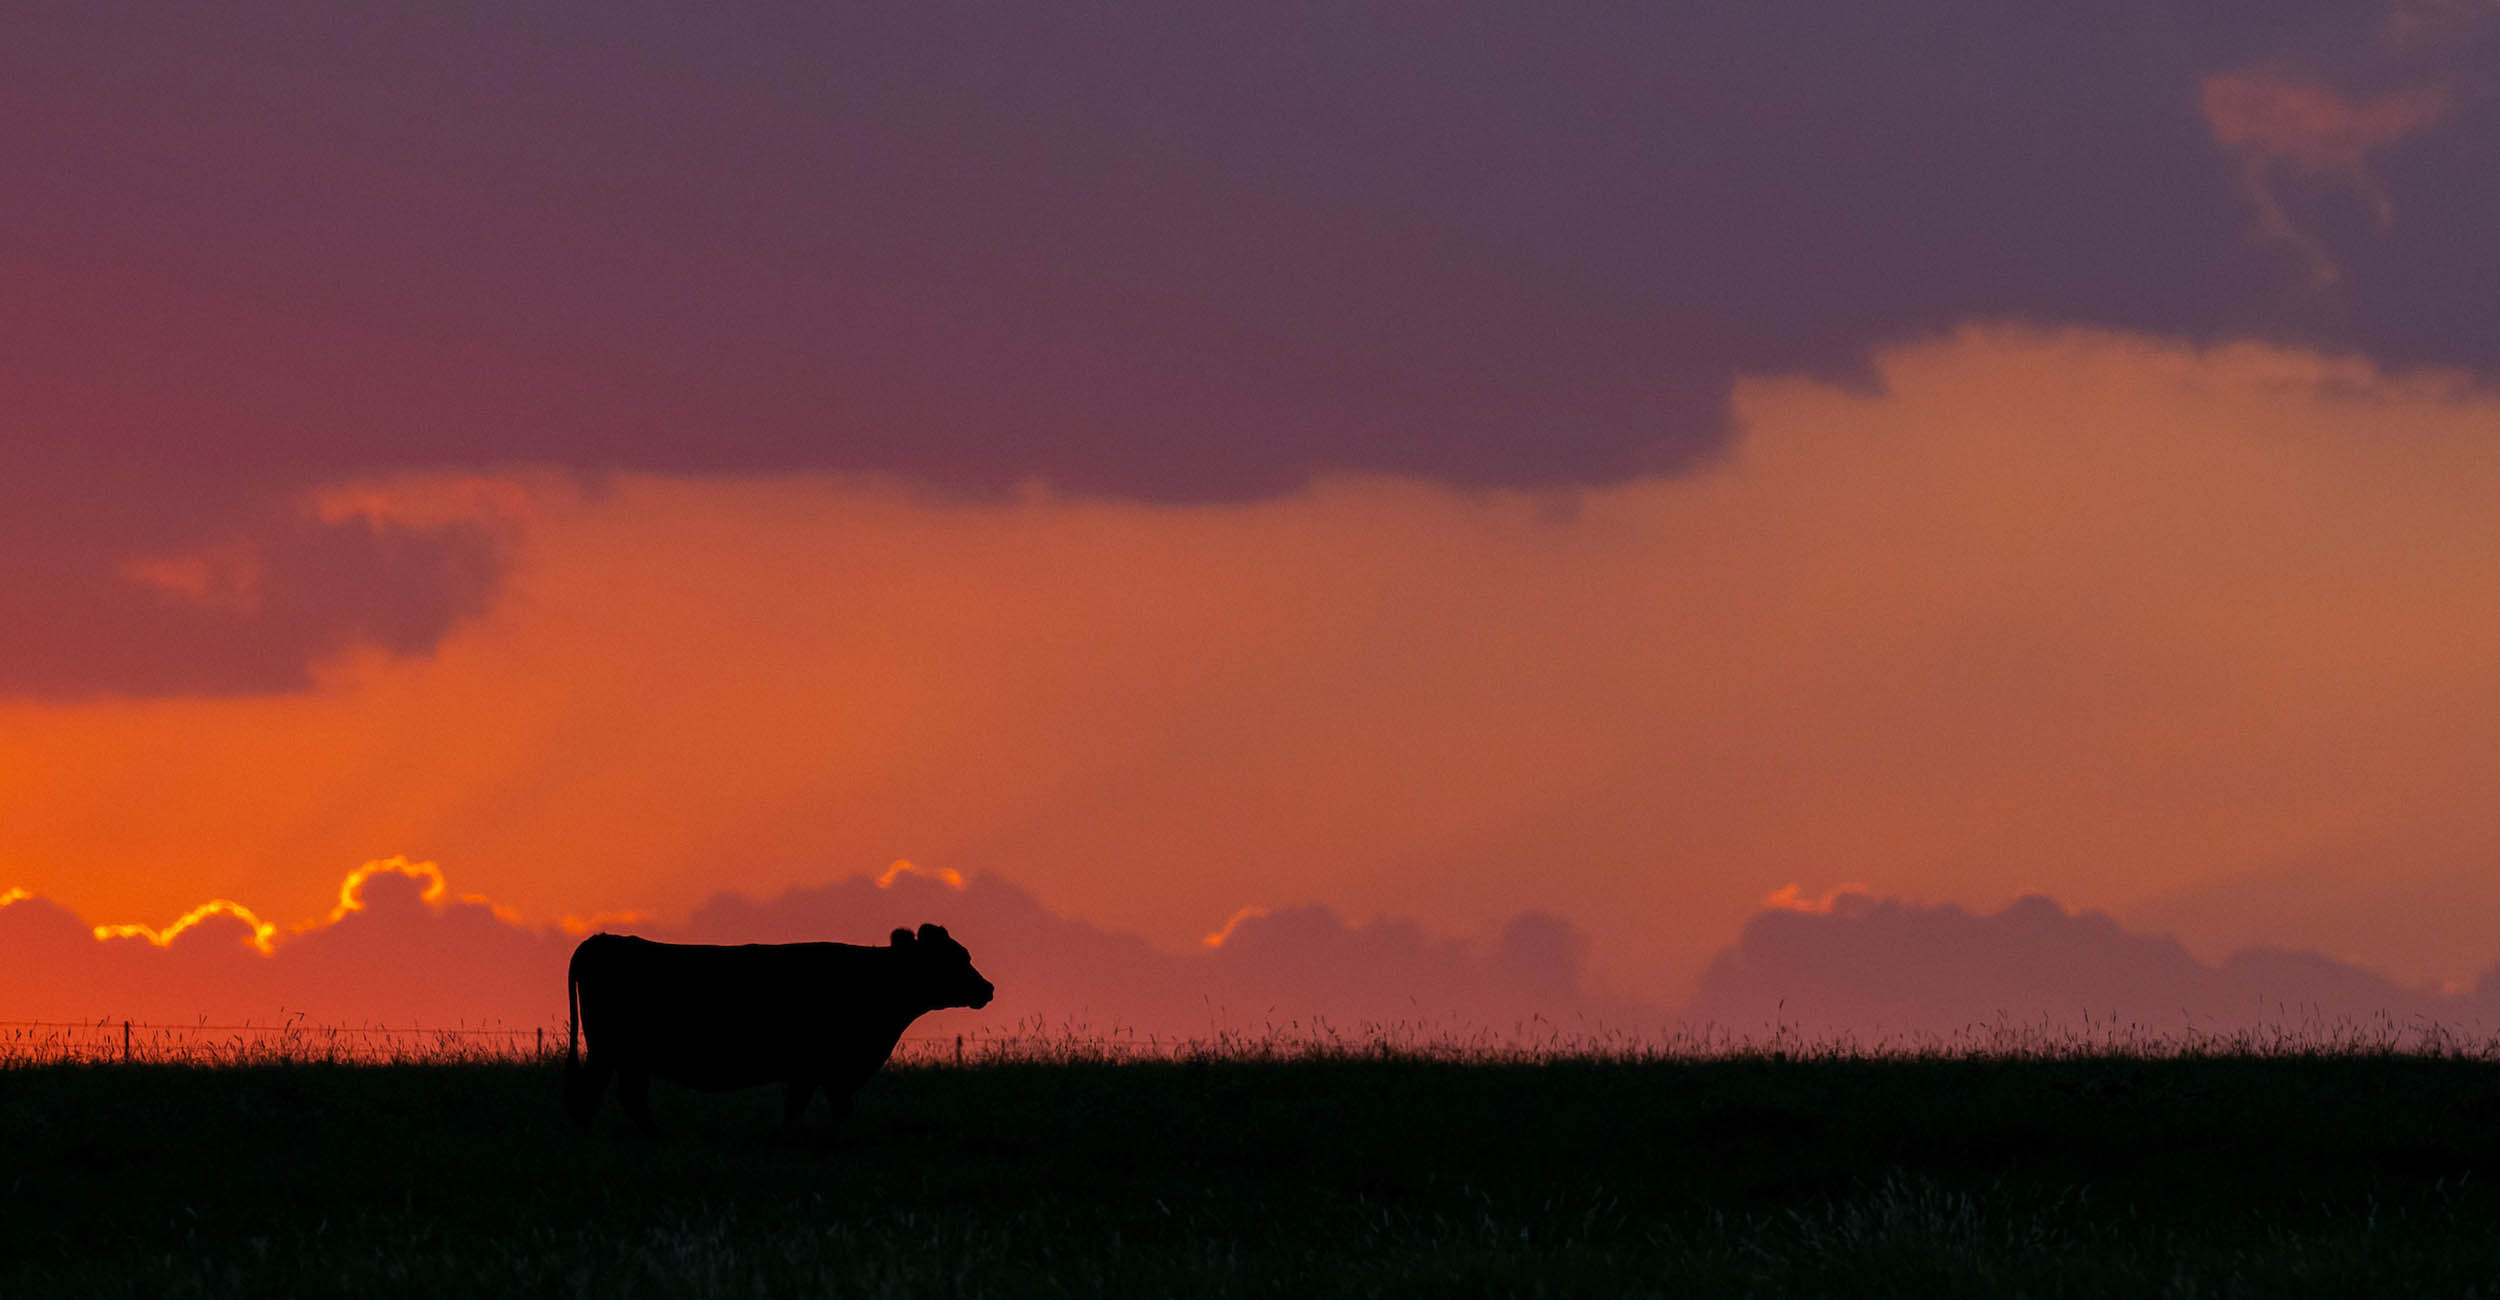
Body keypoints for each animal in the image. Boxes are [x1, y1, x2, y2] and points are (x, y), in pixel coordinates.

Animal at [563, 924, 994, 1136]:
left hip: (627, 1057)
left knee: (627, 1096)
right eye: (958, 957)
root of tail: (601, 939)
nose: (987, 988)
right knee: (593, 1093)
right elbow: (816, 1106)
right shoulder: (820, 1068)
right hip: (610, 1051)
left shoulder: (819, 1072)